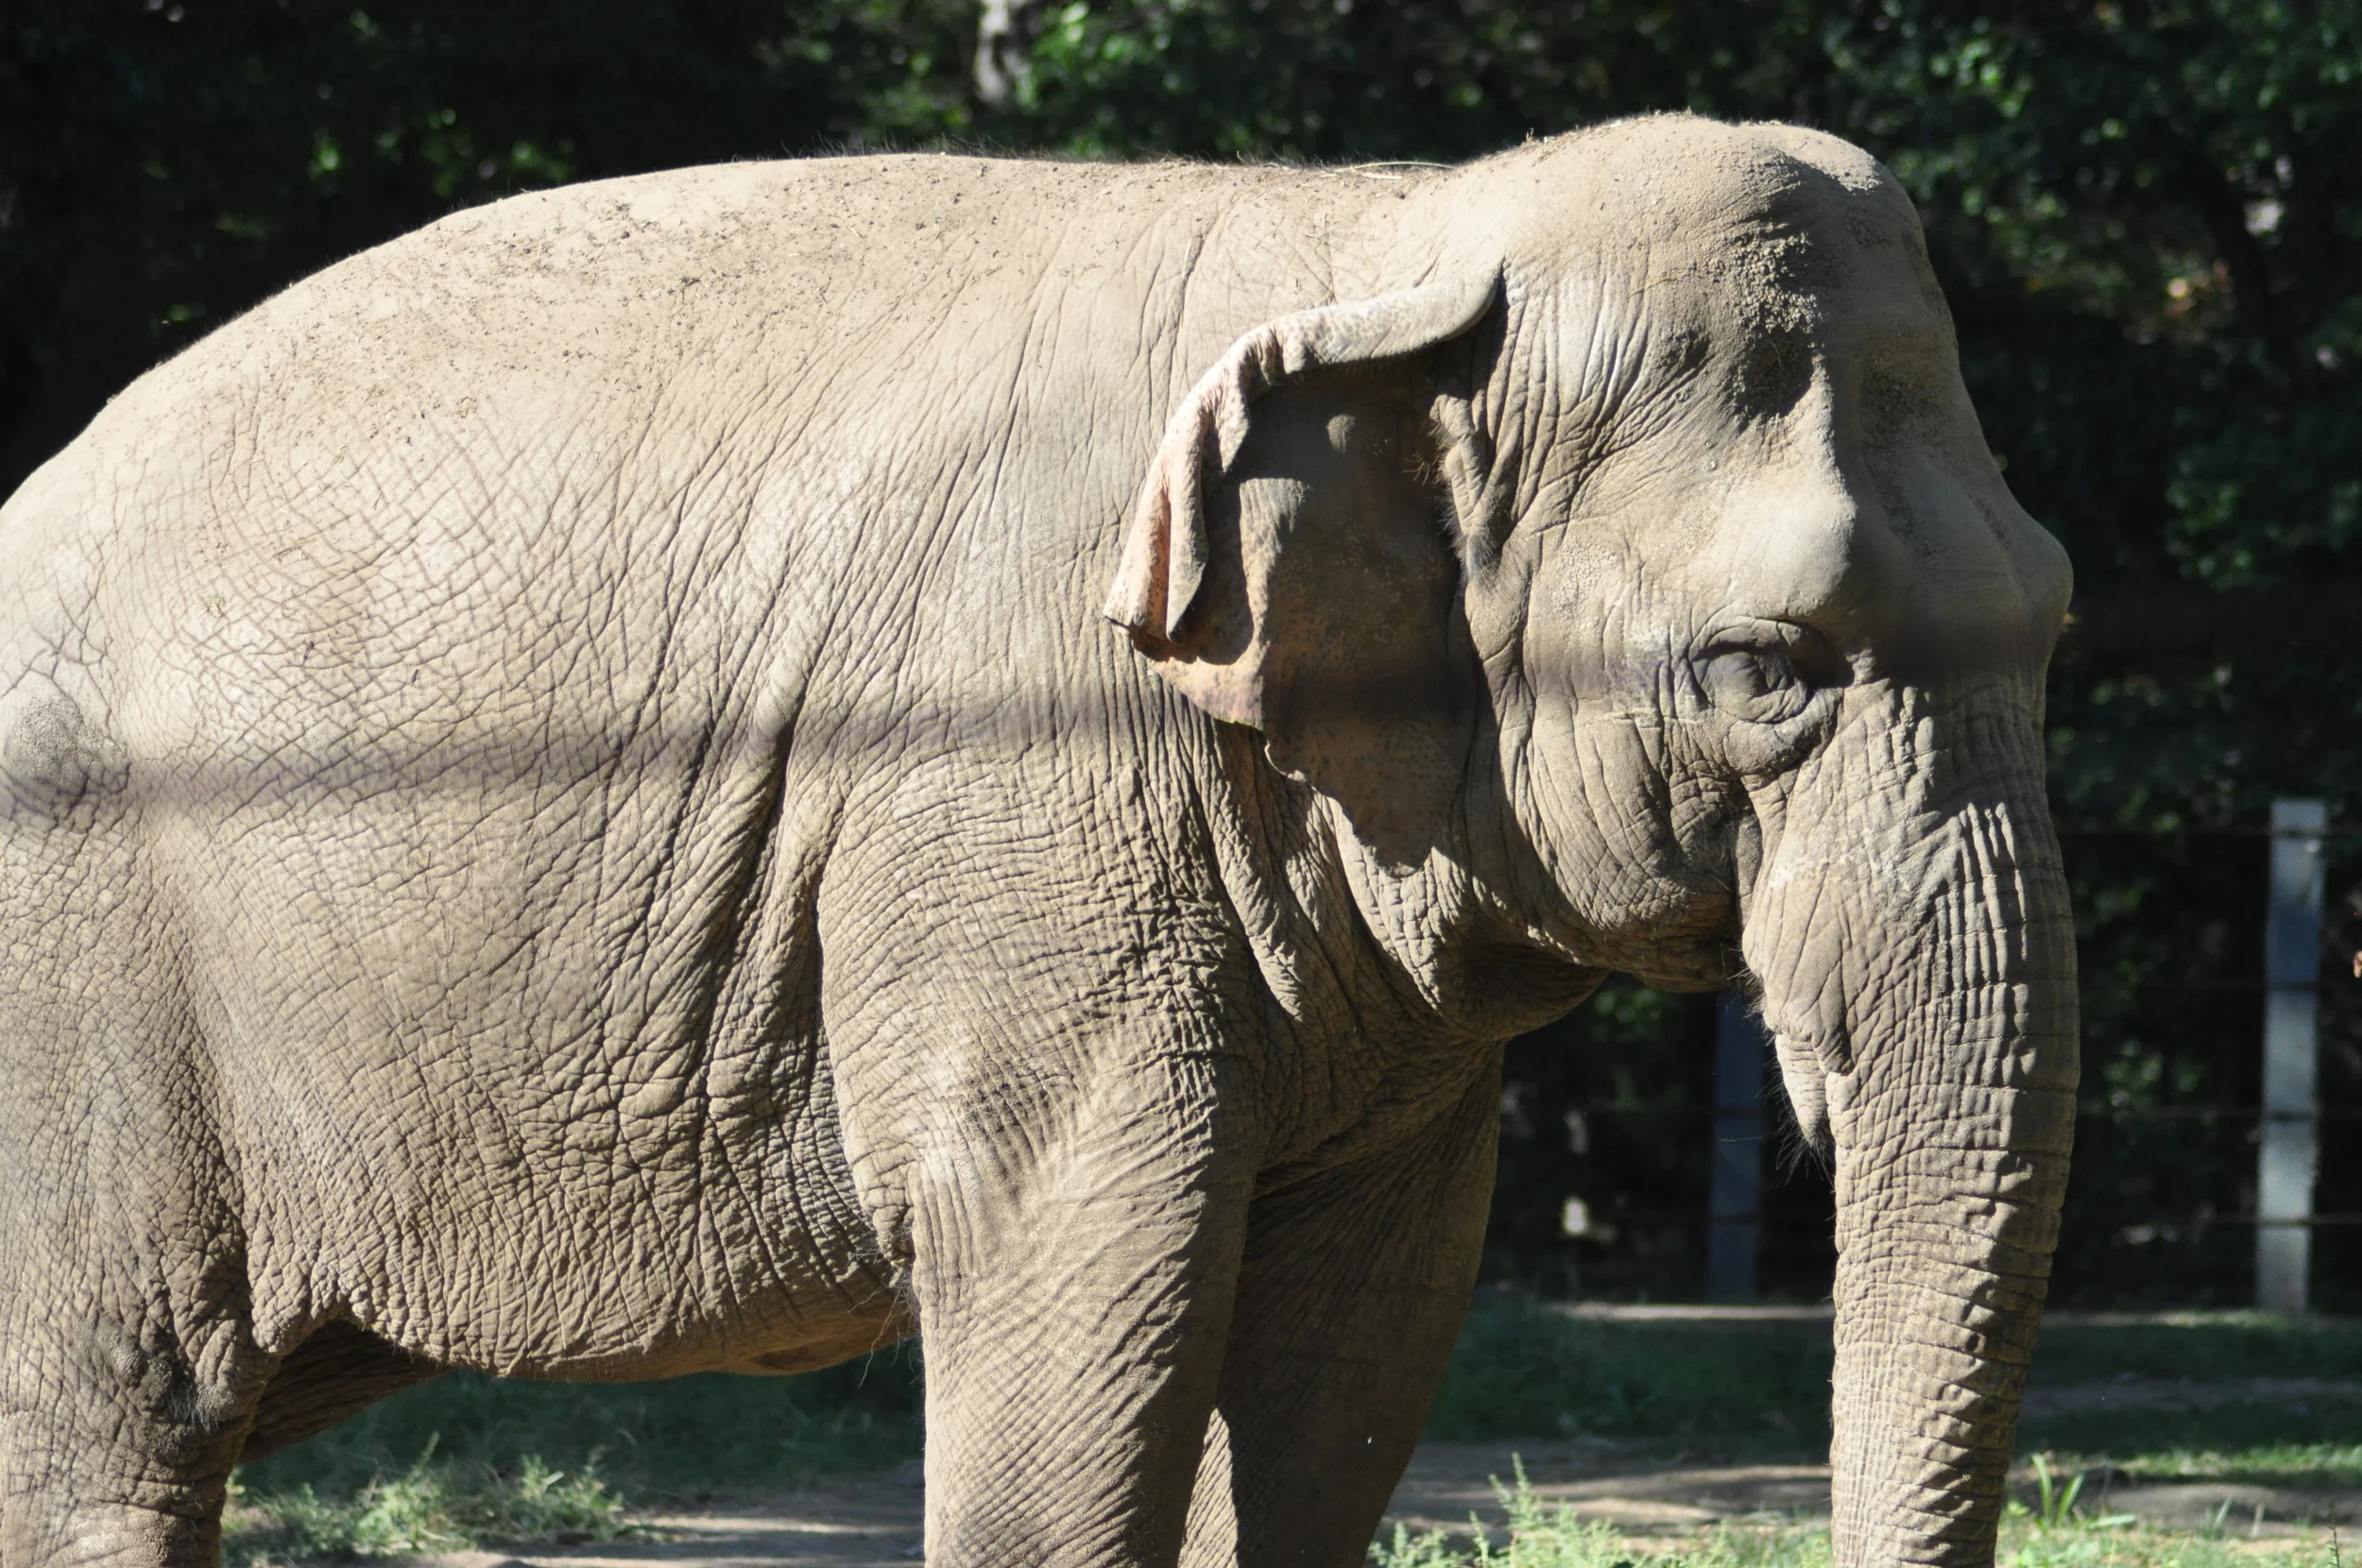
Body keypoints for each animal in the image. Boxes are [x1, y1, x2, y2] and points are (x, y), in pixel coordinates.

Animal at [0, 112, 2074, 1568]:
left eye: (2054, 610)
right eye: (1758, 666)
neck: (1390, 239)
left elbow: (1354, 1347)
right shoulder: (1020, 819)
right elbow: (1075, 1289)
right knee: (111, 1433)